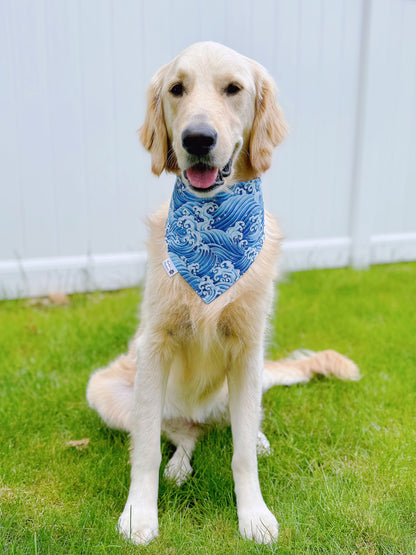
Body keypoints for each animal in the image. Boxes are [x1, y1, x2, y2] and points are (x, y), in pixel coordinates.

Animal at [86, 41, 360, 544]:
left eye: (233, 89)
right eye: (177, 89)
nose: (197, 139)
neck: (213, 227)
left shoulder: (248, 349)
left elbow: (242, 455)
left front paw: (254, 515)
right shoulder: (154, 346)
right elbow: (145, 450)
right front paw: (139, 514)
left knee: (234, 426)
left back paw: (256, 437)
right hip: (108, 390)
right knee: (178, 435)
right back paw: (178, 466)